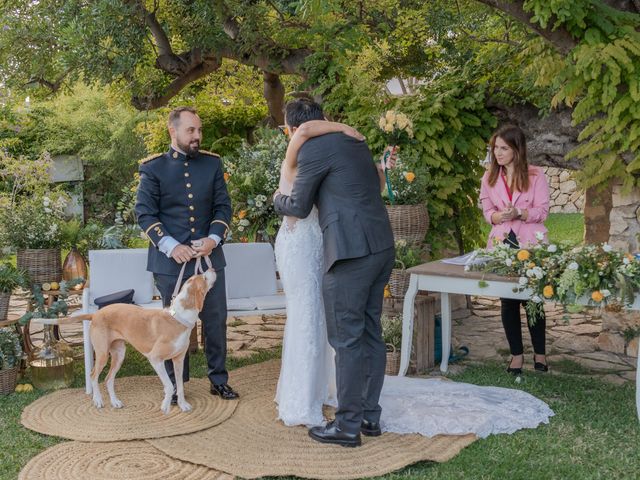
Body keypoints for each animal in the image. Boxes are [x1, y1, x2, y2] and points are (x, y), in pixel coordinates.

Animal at [69, 268, 215, 414]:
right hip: (103, 354)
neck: (178, 318)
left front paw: (182, 404)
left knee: (108, 378)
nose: (212, 269)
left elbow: (179, 385)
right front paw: (165, 406)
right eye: (204, 278)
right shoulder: (155, 359)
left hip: (119, 355)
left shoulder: (178, 360)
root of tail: (95, 314)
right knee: (93, 375)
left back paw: (115, 402)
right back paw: (98, 400)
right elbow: (169, 385)